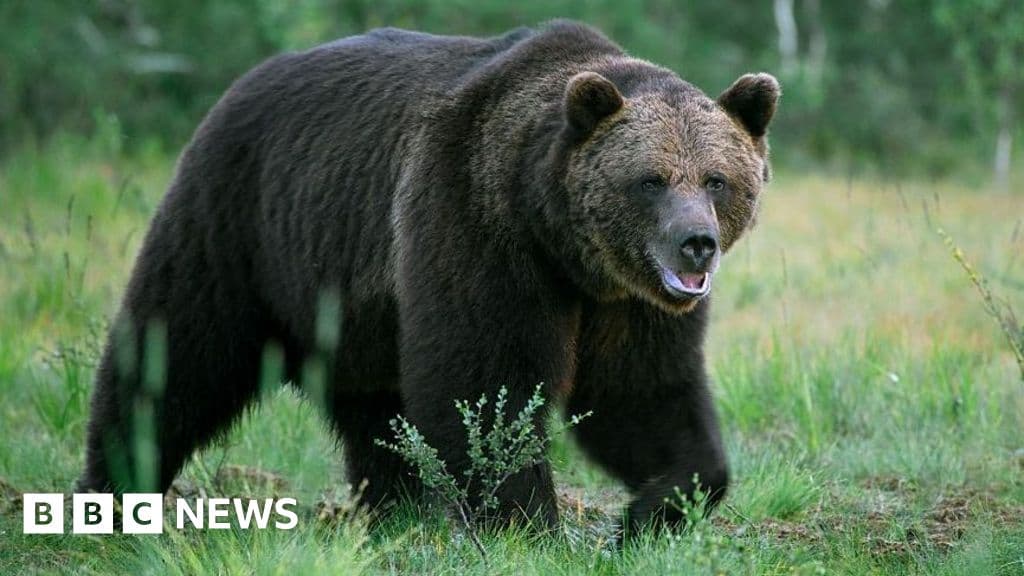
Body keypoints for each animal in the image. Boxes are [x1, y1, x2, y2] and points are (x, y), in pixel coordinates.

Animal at [77, 20, 779, 536]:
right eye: (651, 179)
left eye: (716, 179)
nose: (696, 245)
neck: (560, 242)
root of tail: (245, 80)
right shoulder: (474, 223)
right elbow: (483, 382)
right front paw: (526, 521)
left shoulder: (628, 302)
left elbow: (642, 392)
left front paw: (655, 510)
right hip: (238, 222)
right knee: (178, 351)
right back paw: (115, 485)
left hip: (351, 299)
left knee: (373, 406)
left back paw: (397, 508)